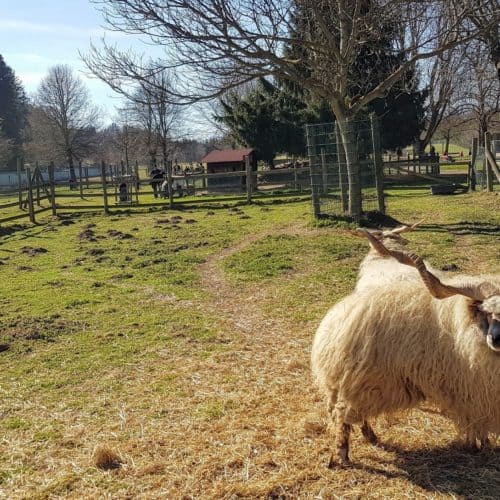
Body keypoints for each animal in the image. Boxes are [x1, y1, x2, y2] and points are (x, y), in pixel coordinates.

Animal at [312, 232, 500, 466]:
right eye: (487, 312)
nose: (496, 339)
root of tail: (331, 324)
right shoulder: (474, 392)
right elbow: (477, 421)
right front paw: (481, 444)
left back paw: (370, 437)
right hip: (359, 383)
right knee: (343, 417)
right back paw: (343, 456)